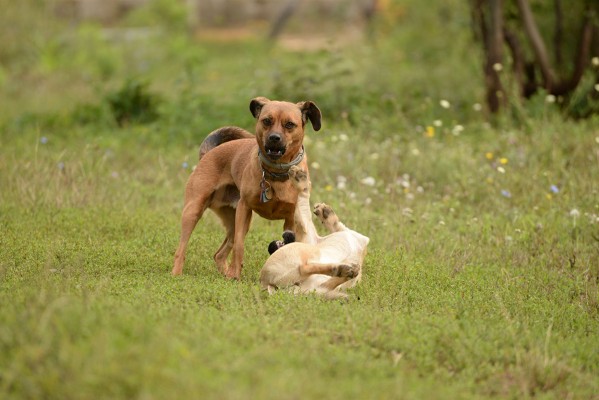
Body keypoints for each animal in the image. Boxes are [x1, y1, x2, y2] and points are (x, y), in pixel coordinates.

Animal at [173, 97, 324, 278]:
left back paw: (224, 274)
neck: (276, 174)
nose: (274, 138)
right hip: (195, 211)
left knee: (219, 254)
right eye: (266, 121)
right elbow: (239, 246)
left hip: (231, 221)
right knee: (181, 249)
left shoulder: (291, 218)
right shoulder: (244, 209)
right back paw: (178, 273)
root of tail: (208, 153)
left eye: (289, 124)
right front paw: (235, 275)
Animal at [260, 164, 368, 298]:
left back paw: (347, 271)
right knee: (304, 268)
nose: (272, 245)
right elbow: (304, 200)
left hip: (315, 286)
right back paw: (343, 269)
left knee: (318, 277)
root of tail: (265, 283)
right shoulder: (308, 228)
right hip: (306, 253)